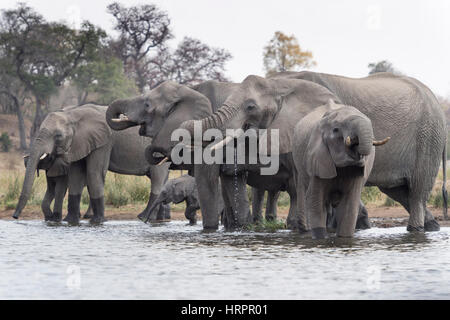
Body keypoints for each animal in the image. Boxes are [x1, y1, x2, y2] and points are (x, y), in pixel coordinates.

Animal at [13, 104, 171, 224]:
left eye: (58, 136)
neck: (73, 114)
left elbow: (93, 173)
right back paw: (160, 219)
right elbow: (76, 175)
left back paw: (144, 217)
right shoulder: (79, 142)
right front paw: (70, 220)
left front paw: (97, 221)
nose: (15, 217)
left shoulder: (104, 141)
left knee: (157, 179)